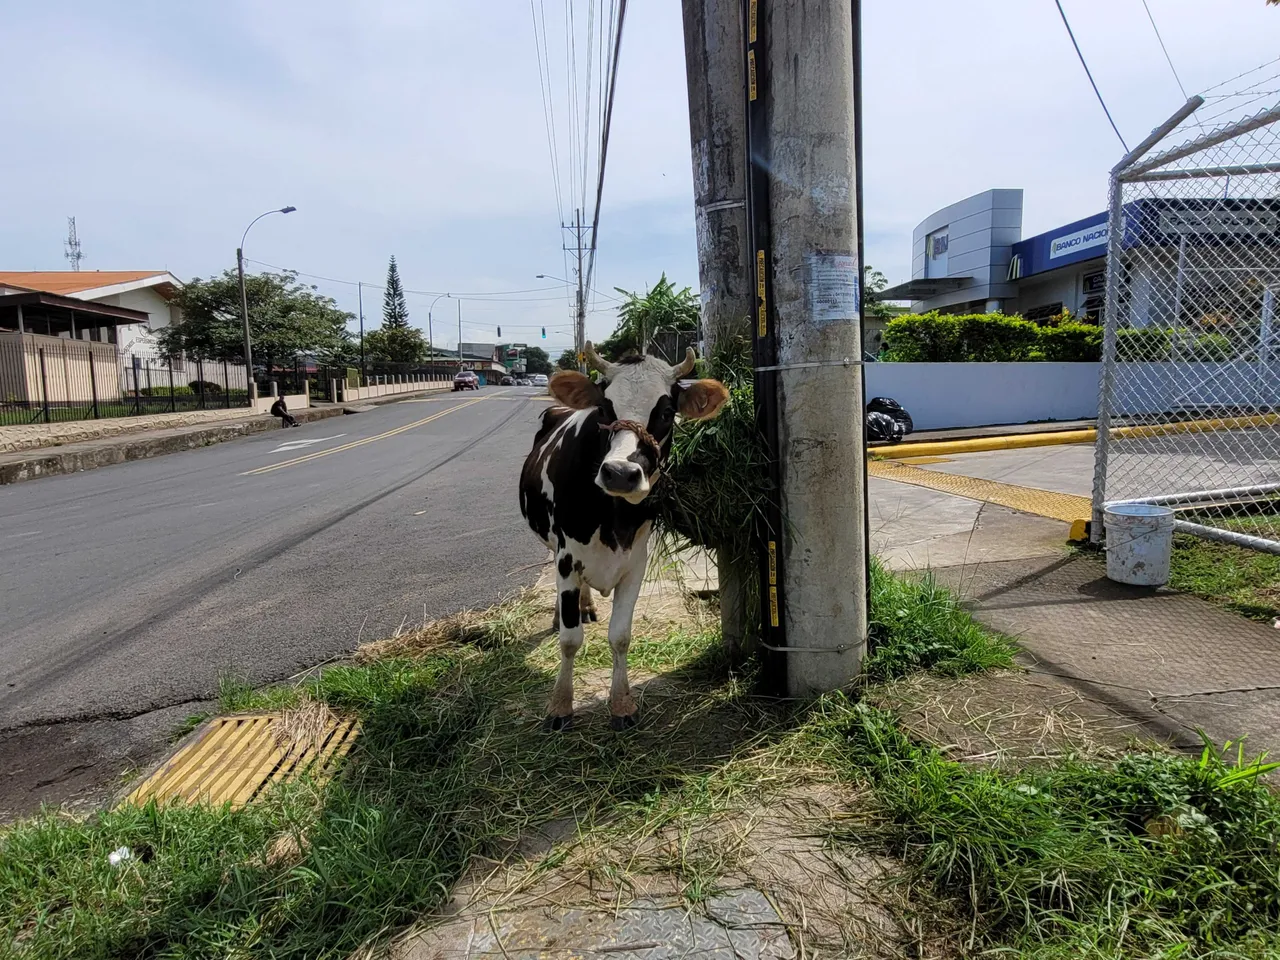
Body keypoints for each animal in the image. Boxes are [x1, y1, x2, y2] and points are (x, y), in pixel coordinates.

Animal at [519, 343, 732, 732]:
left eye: (666, 411)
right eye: (604, 408)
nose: (619, 472)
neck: (612, 516)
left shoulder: (635, 562)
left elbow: (620, 636)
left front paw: (621, 704)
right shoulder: (566, 557)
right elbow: (570, 640)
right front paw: (560, 706)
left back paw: (587, 606)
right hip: (551, 543)